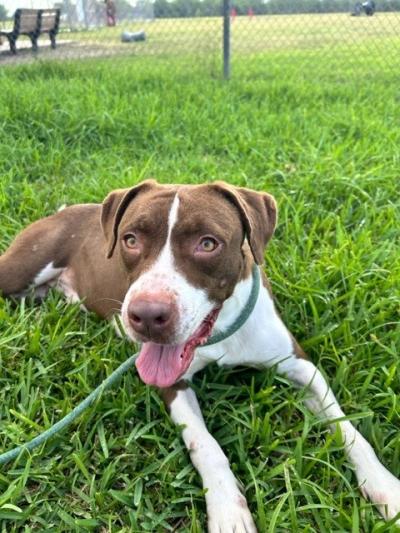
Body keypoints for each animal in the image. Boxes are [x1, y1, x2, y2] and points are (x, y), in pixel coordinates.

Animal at [0, 181, 400, 528]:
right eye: (130, 239)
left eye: (208, 244)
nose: (147, 316)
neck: (220, 330)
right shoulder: (173, 384)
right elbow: (205, 444)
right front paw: (228, 511)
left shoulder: (299, 364)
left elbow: (346, 425)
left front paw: (385, 487)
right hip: (19, 269)